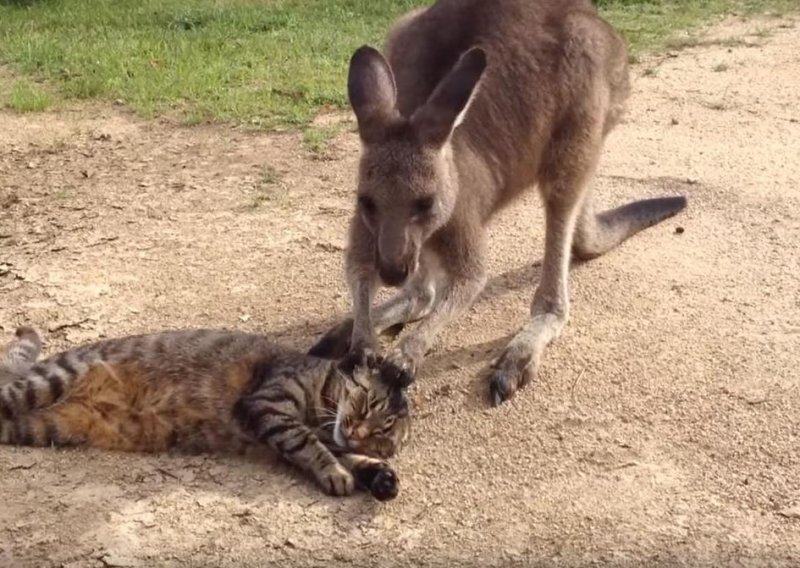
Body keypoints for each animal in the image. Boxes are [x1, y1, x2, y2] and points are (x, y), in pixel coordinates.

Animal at [0, 326, 410, 500]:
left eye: (382, 433)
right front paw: (335, 473)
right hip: (48, 381)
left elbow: (351, 457)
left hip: (45, 426)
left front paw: (380, 478)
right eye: (367, 405)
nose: (359, 431)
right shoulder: (267, 406)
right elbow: (309, 445)